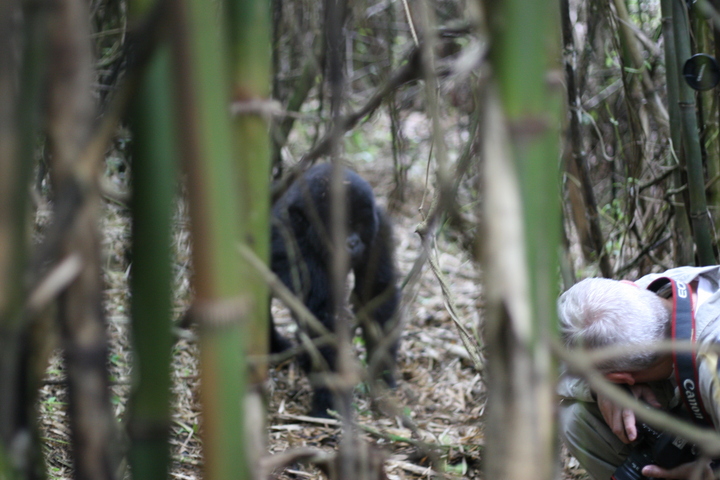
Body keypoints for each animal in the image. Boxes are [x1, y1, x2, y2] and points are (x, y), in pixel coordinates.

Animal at [269, 163, 400, 417]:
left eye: (358, 224)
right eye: (340, 226)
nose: (352, 243)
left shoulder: (378, 228)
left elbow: (376, 295)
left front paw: (382, 375)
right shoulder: (293, 242)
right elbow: (320, 316)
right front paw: (330, 398)